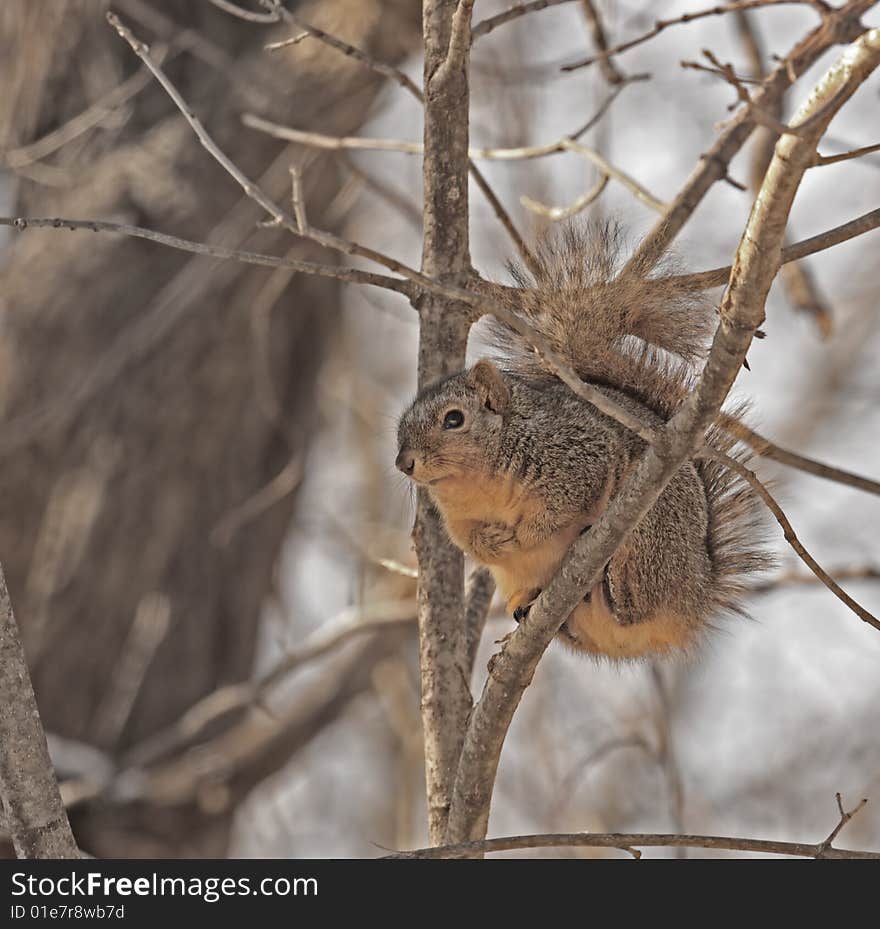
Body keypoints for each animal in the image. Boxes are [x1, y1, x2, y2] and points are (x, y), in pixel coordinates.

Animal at [394, 225, 768, 660]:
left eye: (454, 419)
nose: (404, 463)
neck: (479, 481)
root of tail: (697, 592)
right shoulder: (457, 518)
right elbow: (469, 543)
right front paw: (493, 542)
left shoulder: (577, 454)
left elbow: (561, 507)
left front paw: (523, 536)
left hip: (653, 526)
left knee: (636, 602)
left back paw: (616, 580)